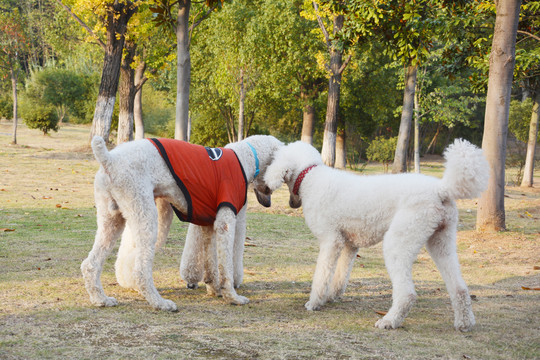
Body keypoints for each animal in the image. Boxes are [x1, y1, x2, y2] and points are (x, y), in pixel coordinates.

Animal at [81, 134, 282, 310]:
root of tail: (109, 159)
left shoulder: (209, 226)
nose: (268, 203)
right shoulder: (225, 223)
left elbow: (211, 264)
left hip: (111, 220)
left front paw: (214, 289)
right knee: (140, 271)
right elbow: (226, 267)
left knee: (90, 264)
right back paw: (159, 303)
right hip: (145, 215)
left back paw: (101, 299)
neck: (245, 157)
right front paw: (232, 297)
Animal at [262, 139, 490, 330]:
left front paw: (315, 302)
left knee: (406, 294)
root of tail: (442, 189)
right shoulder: (349, 244)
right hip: (441, 243)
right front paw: (333, 295)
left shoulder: (330, 241)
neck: (310, 175)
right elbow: (340, 275)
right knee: (459, 289)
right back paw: (464, 323)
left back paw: (389, 321)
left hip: (399, 241)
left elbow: (322, 275)